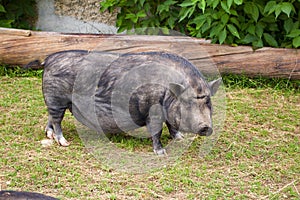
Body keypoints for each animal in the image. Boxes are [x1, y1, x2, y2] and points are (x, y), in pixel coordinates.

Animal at [37, 50, 221, 155]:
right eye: (187, 103)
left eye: (209, 103)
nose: (206, 127)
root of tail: (50, 58)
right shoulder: (153, 111)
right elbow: (157, 131)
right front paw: (161, 152)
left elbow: (172, 126)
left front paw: (180, 139)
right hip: (56, 98)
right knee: (57, 120)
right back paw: (64, 142)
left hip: (56, 102)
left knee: (51, 117)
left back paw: (49, 135)